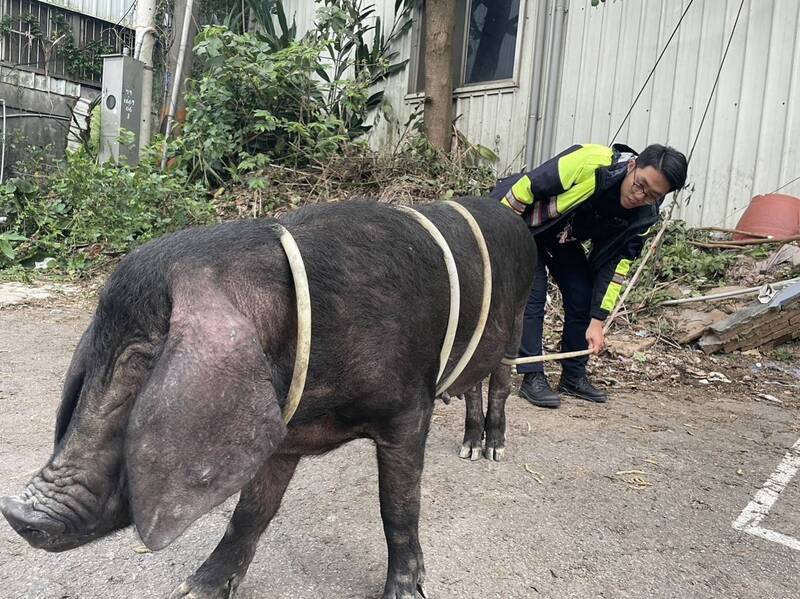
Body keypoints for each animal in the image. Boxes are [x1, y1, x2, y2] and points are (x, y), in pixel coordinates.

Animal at [3, 199, 536, 596]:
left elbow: (398, 507)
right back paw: (468, 448)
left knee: (500, 384)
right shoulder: (276, 430)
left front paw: (404, 593)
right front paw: (192, 591)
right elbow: (251, 512)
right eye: (93, 360)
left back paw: (491, 451)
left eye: (142, 363)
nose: (17, 512)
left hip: (518, 321)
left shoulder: (408, 410)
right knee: (471, 385)